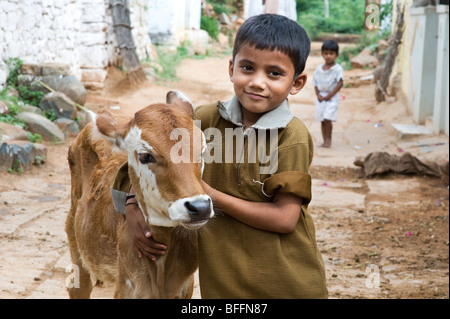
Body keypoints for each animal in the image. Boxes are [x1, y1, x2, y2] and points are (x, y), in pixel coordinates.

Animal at [65, 91, 214, 298]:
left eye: (202, 152)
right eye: (145, 156)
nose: (200, 207)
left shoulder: (186, 286)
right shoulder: (127, 286)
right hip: (75, 240)